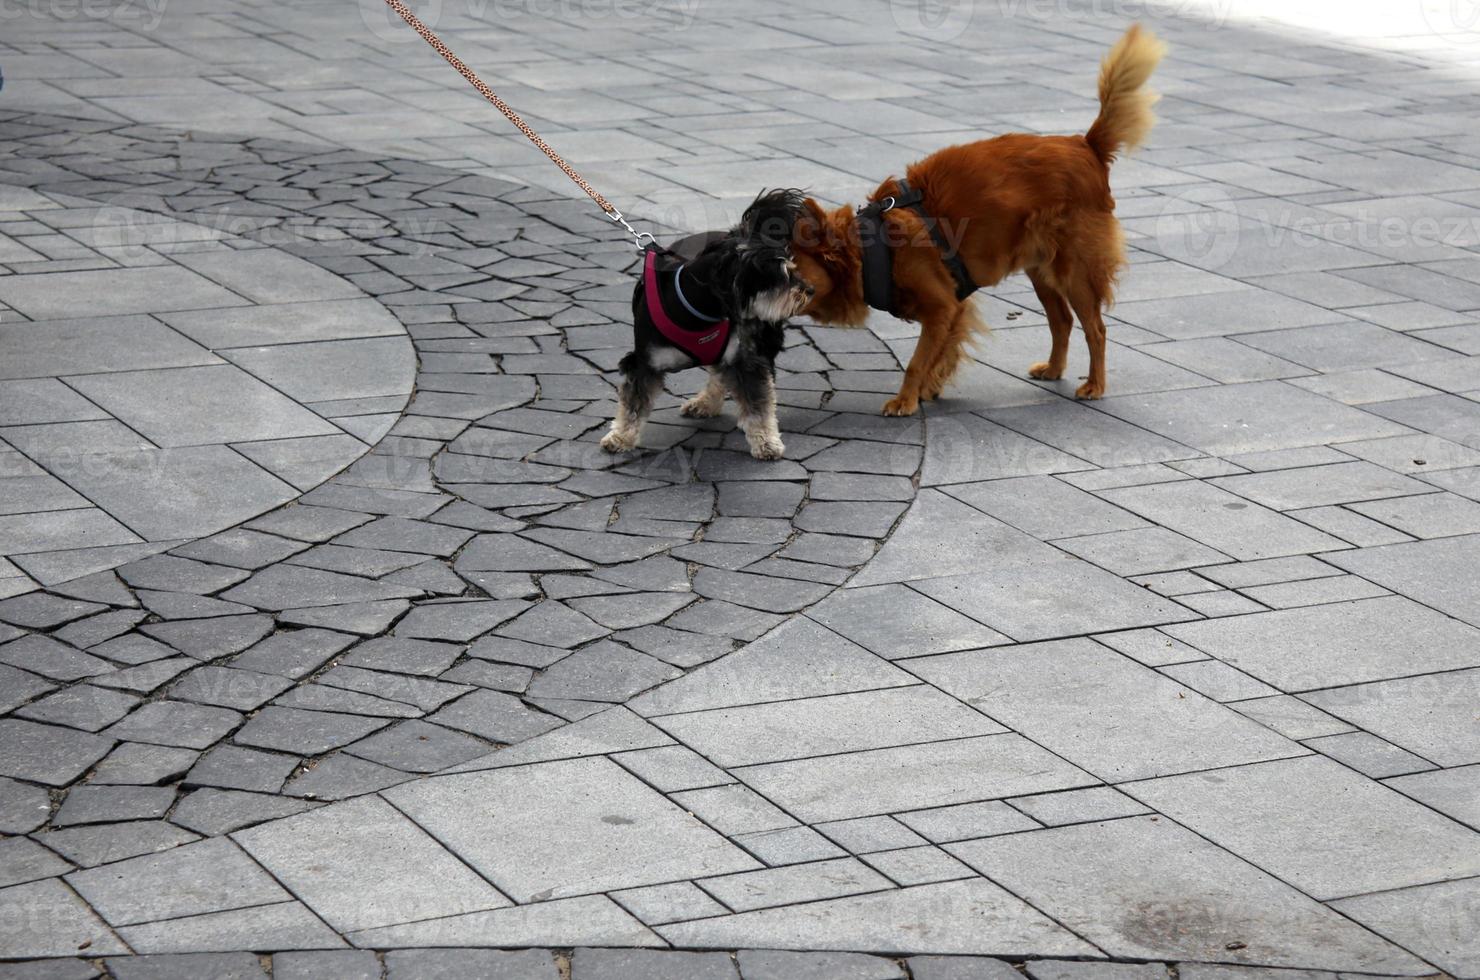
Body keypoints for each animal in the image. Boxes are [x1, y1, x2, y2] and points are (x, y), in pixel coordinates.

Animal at [597, 190, 811, 461]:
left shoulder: (746, 361)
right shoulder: (643, 363)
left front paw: (766, 442)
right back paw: (705, 403)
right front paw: (620, 437)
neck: (697, 309)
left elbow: (759, 404)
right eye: (780, 276)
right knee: (719, 372)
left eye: (792, 268)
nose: (810, 291)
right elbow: (633, 404)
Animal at [793, 25, 1160, 417]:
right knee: (1061, 320)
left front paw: (907, 399)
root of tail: (1087, 145)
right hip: (1040, 269)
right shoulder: (954, 310)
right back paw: (1054, 369)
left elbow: (917, 361)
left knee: (1096, 328)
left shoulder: (941, 308)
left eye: (788, 268)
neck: (875, 249)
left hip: (1074, 270)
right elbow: (942, 354)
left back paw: (1094, 385)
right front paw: (930, 389)